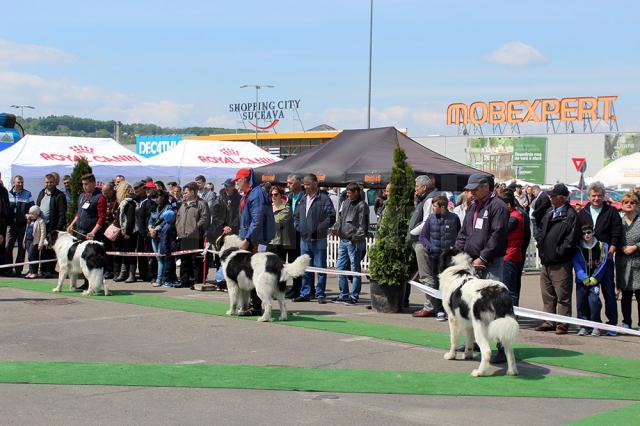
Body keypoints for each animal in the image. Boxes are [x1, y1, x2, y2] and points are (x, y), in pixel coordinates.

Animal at [438, 246, 516, 376]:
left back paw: (479, 372)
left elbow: (453, 339)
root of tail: (497, 292)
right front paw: (468, 355)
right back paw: (512, 371)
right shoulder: (468, 321)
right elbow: (469, 340)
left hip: (481, 326)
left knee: (487, 351)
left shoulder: (453, 319)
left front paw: (451, 356)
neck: (458, 270)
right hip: (503, 323)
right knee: (509, 350)